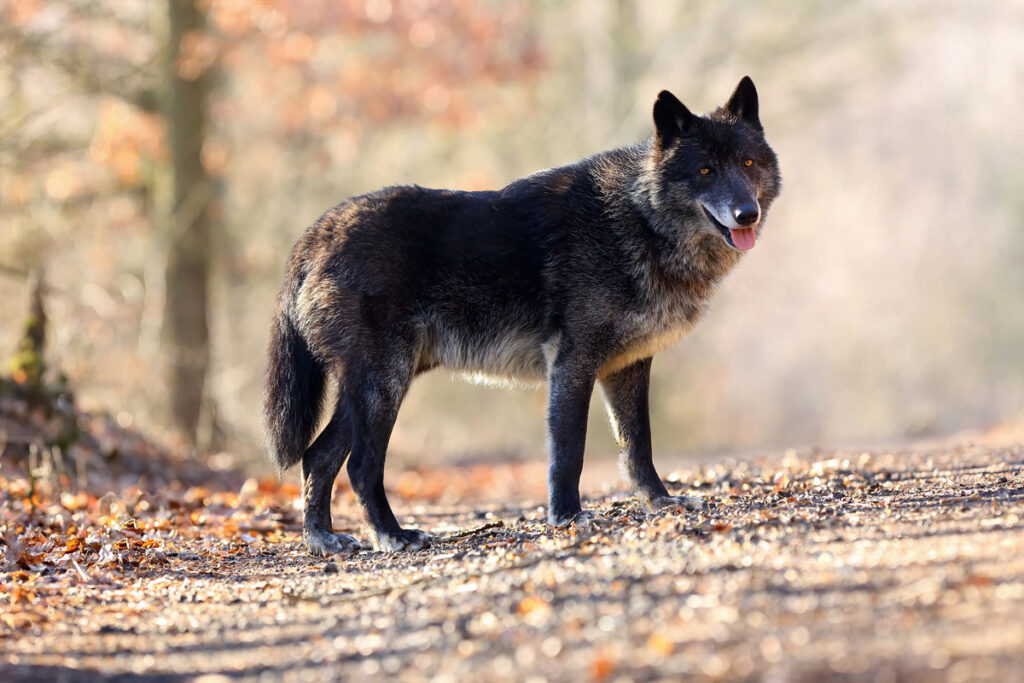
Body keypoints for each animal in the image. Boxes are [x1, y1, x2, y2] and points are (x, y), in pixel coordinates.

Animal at [263, 76, 781, 555]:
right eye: (705, 169)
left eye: (747, 163)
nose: (747, 213)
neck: (639, 220)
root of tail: (315, 233)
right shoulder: (572, 362)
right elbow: (569, 452)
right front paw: (567, 516)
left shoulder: (628, 367)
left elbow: (638, 447)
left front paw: (661, 503)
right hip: (384, 384)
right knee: (360, 465)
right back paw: (393, 536)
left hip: (374, 387)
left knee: (317, 456)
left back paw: (323, 540)